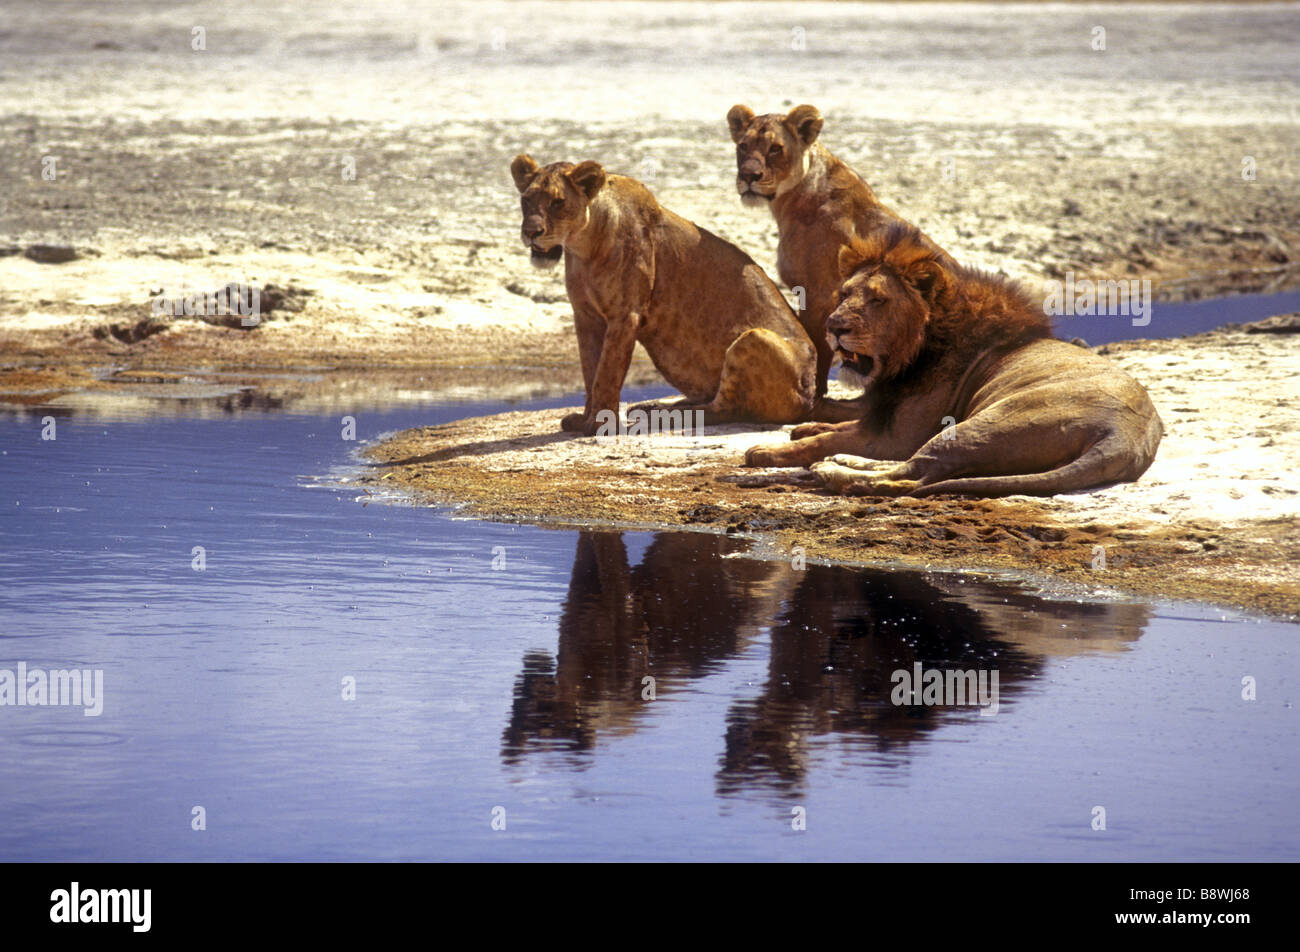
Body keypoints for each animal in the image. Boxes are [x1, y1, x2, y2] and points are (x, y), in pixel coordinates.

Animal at [506, 155, 811, 434]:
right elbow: (590, 371)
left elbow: (606, 374)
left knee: (723, 409)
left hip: (755, 337)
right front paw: (584, 420)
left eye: (558, 202)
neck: (582, 247)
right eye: (527, 200)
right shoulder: (585, 317)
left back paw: (667, 414)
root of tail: (810, 399)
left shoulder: (625, 315)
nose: (531, 232)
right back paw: (657, 407)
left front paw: (600, 424)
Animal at [728, 100, 951, 421]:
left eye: (775, 149)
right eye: (743, 146)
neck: (790, 202)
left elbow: (818, 349)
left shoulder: (818, 294)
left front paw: (817, 397)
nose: (748, 176)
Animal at [748, 223, 1164, 499]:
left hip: (982, 423)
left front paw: (770, 451)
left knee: (910, 473)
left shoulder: (896, 435)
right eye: (844, 294)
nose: (834, 326)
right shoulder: (884, 421)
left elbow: (826, 440)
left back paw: (831, 470)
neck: (916, 349)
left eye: (878, 300)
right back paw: (844, 461)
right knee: (923, 466)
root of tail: (1124, 437)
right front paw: (808, 428)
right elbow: (838, 426)